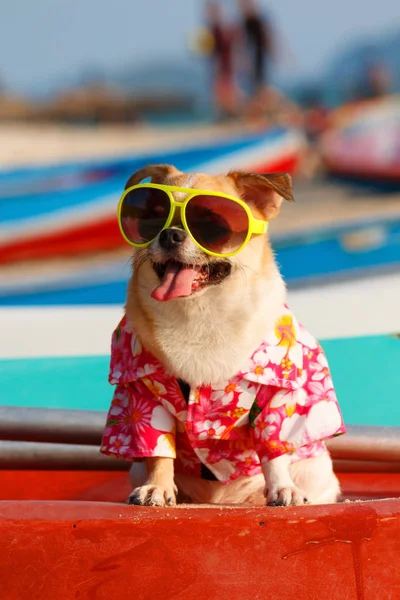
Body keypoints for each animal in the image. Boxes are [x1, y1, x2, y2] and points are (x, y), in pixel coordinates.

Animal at [101, 164, 346, 506]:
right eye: (153, 217)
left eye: (213, 224)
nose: (170, 233)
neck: (200, 312)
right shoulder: (141, 395)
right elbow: (158, 449)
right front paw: (157, 487)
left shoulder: (278, 394)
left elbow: (274, 448)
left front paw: (282, 487)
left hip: (316, 471)